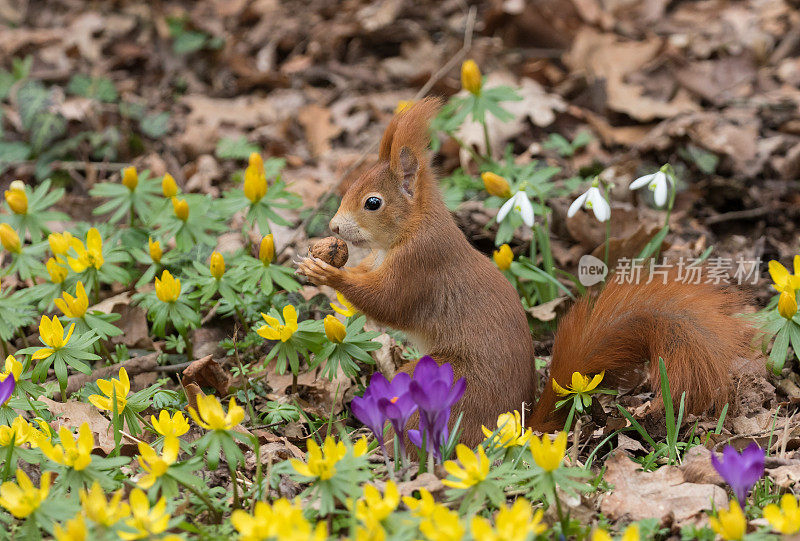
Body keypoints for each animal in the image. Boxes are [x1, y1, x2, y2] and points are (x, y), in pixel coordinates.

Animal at [298, 99, 756, 446]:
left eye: (372, 203)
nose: (334, 227)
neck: (412, 228)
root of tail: (513, 426)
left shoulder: (421, 265)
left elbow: (388, 302)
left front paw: (328, 275)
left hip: (442, 383)